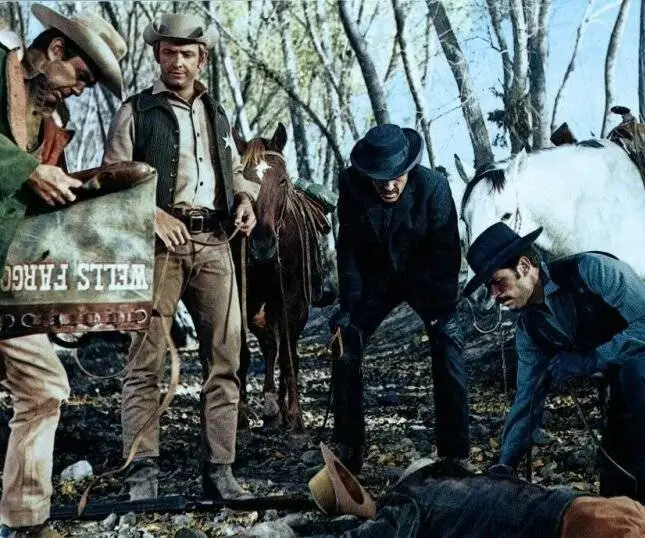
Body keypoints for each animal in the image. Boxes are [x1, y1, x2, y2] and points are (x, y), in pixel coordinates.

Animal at [232, 123, 327, 434]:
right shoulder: (245, 300)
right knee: (270, 347)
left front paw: (295, 417)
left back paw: (283, 411)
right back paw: (271, 409)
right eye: (240, 180)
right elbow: (244, 354)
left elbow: (288, 356)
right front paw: (240, 415)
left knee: (288, 352)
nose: (262, 246)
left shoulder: (290, 301)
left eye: (283, 180)